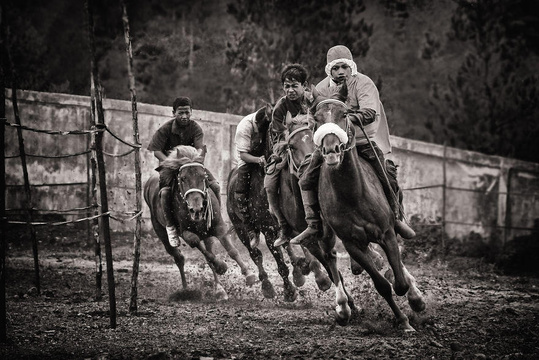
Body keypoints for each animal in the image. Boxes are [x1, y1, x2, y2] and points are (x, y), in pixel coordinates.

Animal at [144, 145, 256, 300]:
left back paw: (219, 289)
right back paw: (186, 289)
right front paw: (221, 266)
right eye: (183, 178)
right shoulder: (186, 233)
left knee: (205, 251)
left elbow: (231, 250)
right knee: (179, 258)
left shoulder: (218, 226)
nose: (196, 209)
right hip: (161, 233)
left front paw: (248, 274)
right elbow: (200, 247)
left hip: (206, 234)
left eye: (203, 177)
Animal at [227, 104, 312, 300]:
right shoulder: (268, 231)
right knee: (255, 254)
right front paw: (289, 292)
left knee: (286, 246)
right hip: (241, 228)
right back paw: (267, 286)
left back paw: (299, 271)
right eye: (274, 133)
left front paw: (311, 270)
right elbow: (280, 264)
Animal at [312, 83, 426, 330]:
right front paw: (403, 321)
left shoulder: (386, 232)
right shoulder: (352, 243)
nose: (332, 150)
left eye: (344, 114)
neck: (353, 195)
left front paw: (410, 307)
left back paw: (416, 298)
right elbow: (382, 285)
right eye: (316, 118)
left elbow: (399, 282)